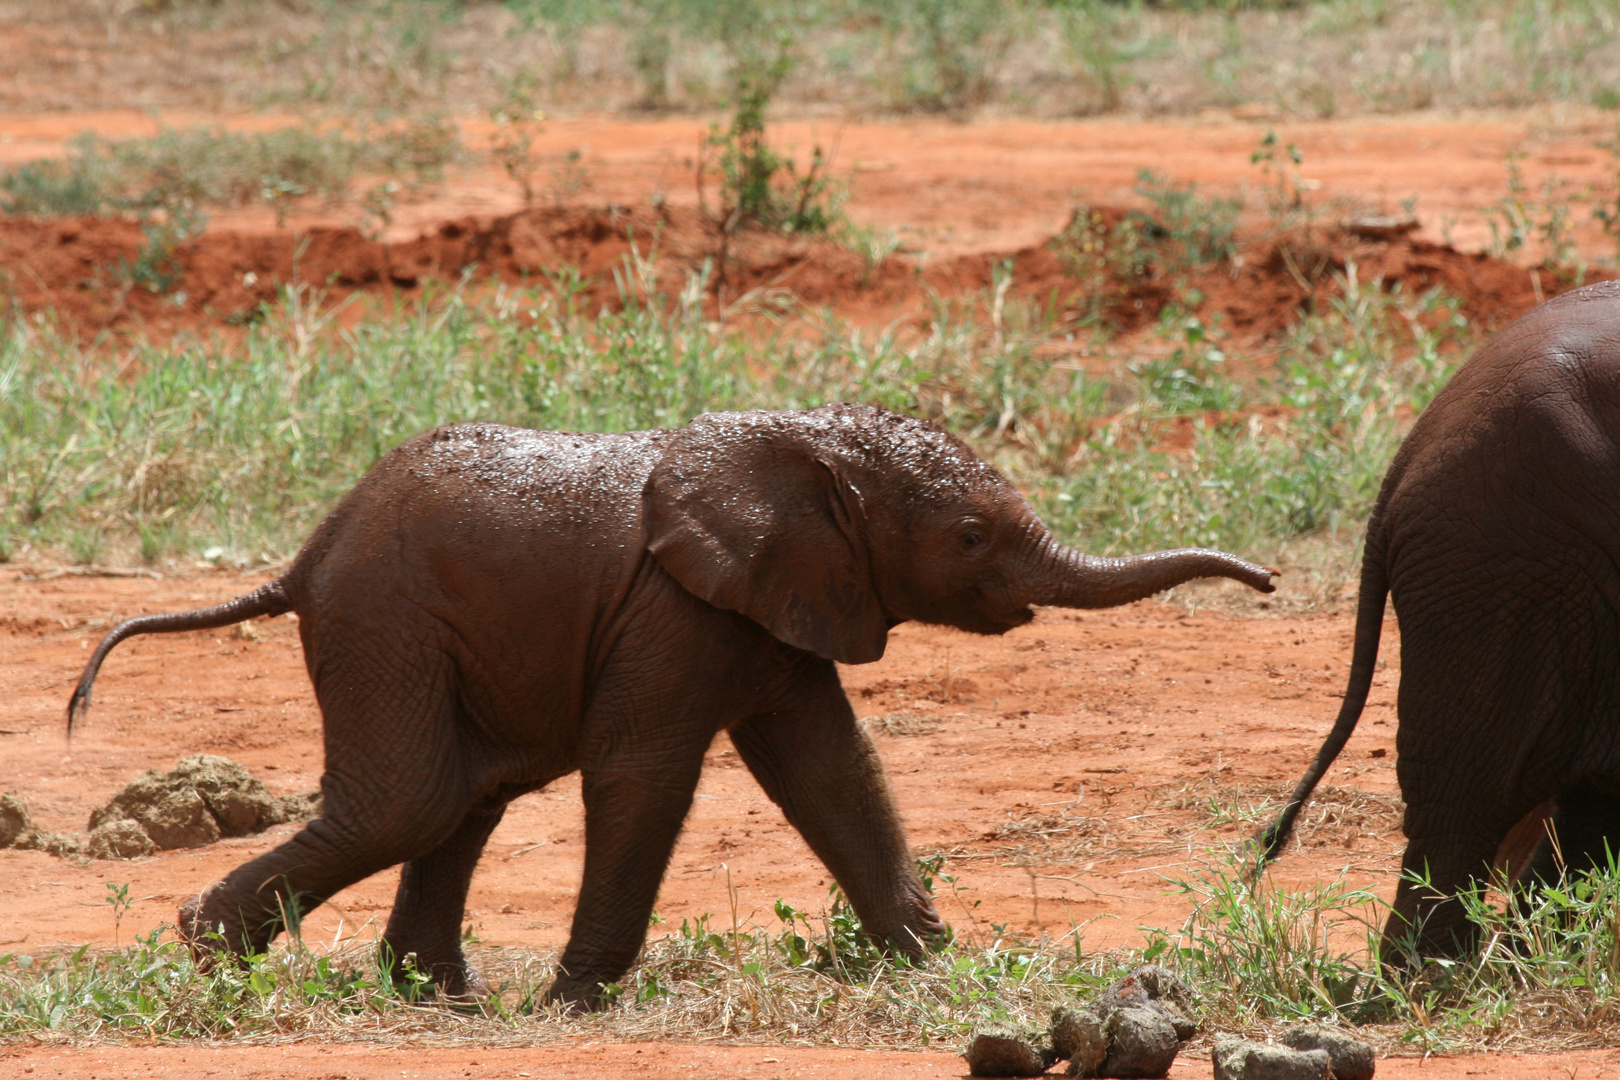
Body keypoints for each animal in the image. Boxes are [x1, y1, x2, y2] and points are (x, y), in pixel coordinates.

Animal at [69, 401, 1276, 1010]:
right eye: (972, 537)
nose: (1266, 582)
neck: (800, 456)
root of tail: (305, 556)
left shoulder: (782, 603)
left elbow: (832, 768)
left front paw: (936, 971)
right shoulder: (676, 611)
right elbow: (645, 772)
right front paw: (571, 1006)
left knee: (460, 799)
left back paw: (436, 1005)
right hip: (387, 621)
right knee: (409, 801)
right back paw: (212, 960)